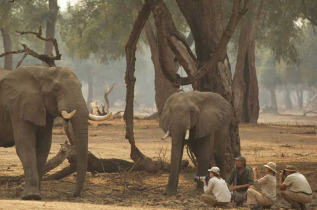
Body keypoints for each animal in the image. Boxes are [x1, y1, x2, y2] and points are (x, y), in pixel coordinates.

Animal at [0, 66, 111, 200]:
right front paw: (32, 196)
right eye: (56, 89)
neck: (42, 72)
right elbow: (25, 146)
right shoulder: (17, 107)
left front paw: (38, 195)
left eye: (80, 86)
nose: (72, 194)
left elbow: (44, 147)